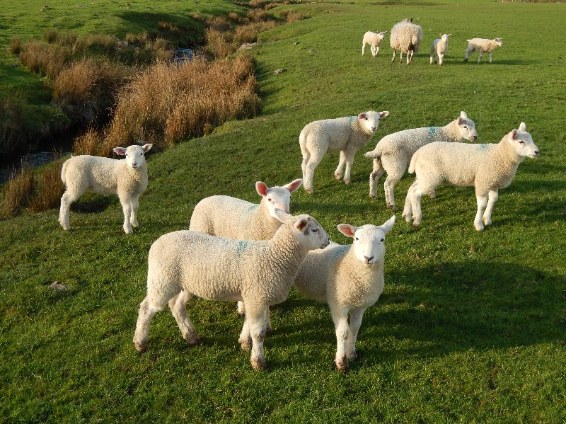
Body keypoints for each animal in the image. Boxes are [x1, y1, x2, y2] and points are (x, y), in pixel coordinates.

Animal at [134, 210, 330, 370]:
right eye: (314, 230)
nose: (328, 241)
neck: (275, 256)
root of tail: (157, 242)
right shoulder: (257, 295)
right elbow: (258, 333)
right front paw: (258, 361)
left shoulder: (253, 295)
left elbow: (249, 322)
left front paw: (244, 342)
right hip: (162, 280)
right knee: (146, 308)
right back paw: (140, 342)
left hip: (184, 283)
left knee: (176, 305)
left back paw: (191, 336)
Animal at [296, 215, 398, 372]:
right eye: (356, 238)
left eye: (382, 239)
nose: (368, 258)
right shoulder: (339, 303)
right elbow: (342, 332)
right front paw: (341, 361)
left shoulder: (360, 306)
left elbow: (355, 328)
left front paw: (351, 354)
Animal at [404, 121, 540, 232]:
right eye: (521, 142)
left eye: (531, 139)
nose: (537, 152)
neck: (500, 156)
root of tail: (417, 154)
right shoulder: (483, 182)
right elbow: (482, 204)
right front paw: (479, 225)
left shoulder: (493, 182)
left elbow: (493, 200)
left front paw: (487, 219)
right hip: (431, 176)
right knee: (416, 194)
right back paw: (417, 219)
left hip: (424, 175)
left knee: (411, 189)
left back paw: (408, 215)